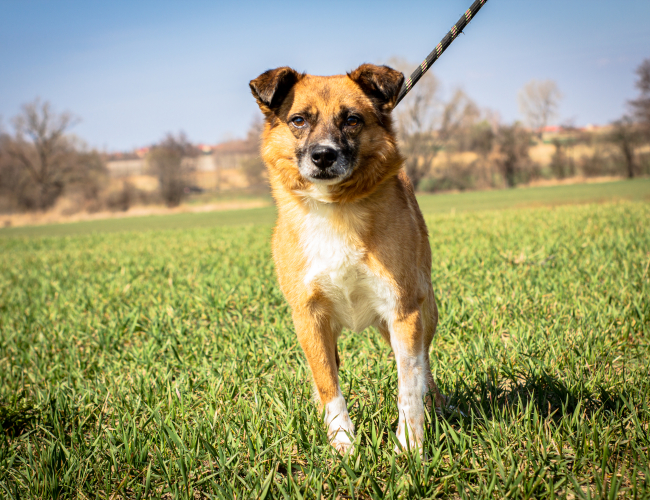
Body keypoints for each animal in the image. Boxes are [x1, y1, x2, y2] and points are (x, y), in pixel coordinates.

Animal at [249, 62, 446, 454]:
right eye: (298, 120)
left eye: (352, 120)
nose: (323, 155)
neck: (335, 209)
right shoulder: (309, 318)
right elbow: (328, 383)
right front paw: (343, 443)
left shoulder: (403, 310)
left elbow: (408, 384)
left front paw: (409, 445)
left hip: (423, 311)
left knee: (423, 364)